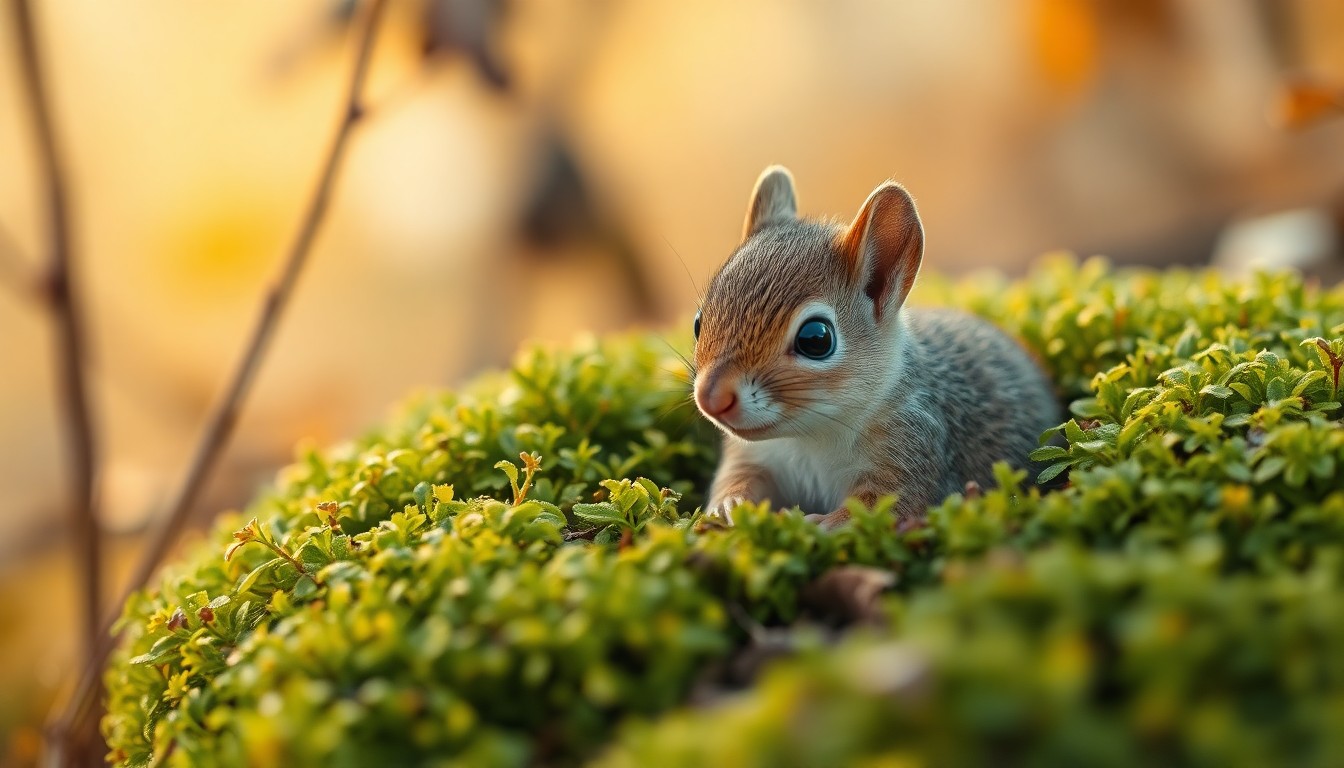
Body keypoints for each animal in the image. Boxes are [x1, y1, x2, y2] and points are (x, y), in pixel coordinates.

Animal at [692, 166, 1061, 529]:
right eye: (698, 322)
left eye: (816, 339)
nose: (711, 398)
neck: (810, 436)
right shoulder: (756, 455)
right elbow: (737, 475)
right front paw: (729, 503)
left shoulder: (914, 443)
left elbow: (888, 503)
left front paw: (827, 523)